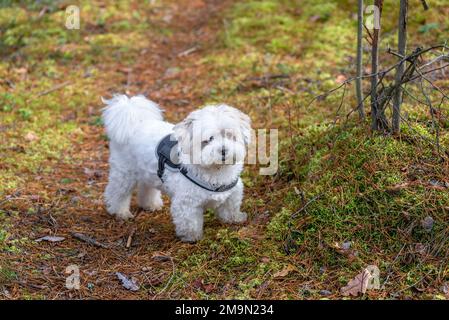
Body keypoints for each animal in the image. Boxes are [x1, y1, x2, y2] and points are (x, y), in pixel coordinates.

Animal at [100, 95, 250, 242]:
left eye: (229, 135)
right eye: (209, 139)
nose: (224, 150)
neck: (217, 169)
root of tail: (135, 123)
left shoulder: (233, 193)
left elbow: (230, 208)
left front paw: (235, 219)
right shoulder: (186, 204)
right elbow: (190, 223)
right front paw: (191, 237)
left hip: (148, 173)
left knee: (146, 188)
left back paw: (150, 204)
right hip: (124, 173)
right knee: (116, 193)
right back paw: (120, 212)